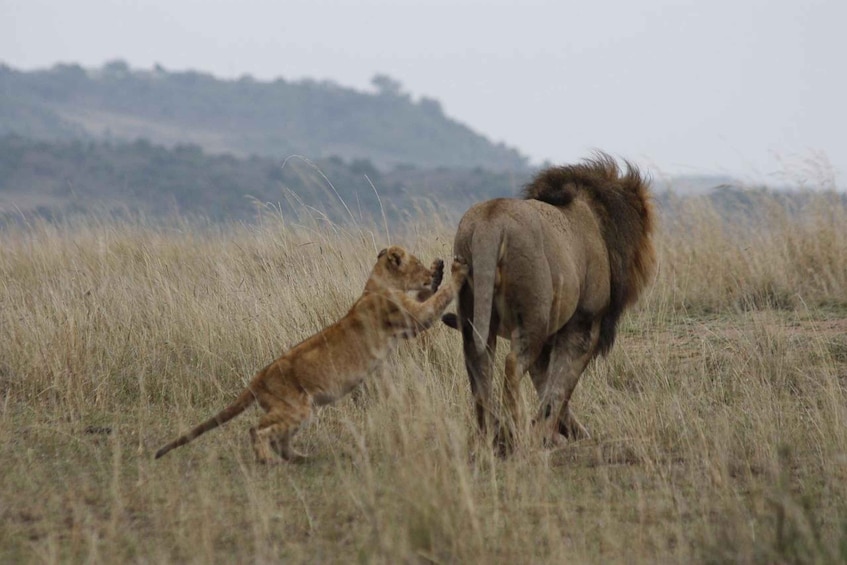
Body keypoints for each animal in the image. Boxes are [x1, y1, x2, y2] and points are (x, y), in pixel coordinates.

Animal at [157, 246, 470, 462]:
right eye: (416, 263)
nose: (429, 270)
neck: (376, 285)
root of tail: (258, 377)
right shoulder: (411, 319)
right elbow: (437, 300)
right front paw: (454, 270)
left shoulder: (408, 320)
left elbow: (429, 298)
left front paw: (439, 270)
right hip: (296, 408)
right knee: (257, 431)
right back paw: (268, 461)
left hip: (294, 412)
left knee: (278, 437)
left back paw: (299, 458)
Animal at [448, 152, 660, 452]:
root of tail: (491, 225)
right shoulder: (583, 325)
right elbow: (560, 385)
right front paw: (548, 434)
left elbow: (546, 383)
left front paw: (563, 431)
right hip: (534, 318)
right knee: (512, 365)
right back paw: (516, 432)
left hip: (475, 314)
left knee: (480, 369)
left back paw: (491, 435)